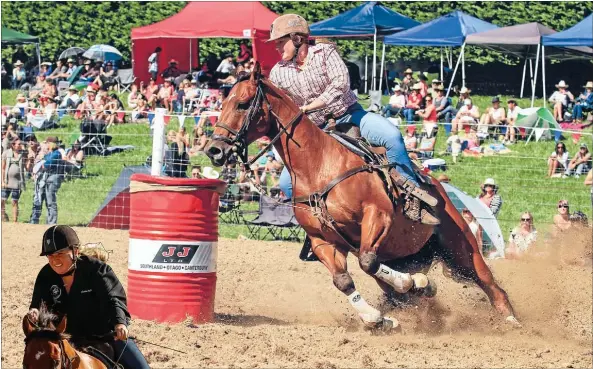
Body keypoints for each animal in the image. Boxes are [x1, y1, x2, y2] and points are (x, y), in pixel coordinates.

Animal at [205, 64, 520, 330]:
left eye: (242, 103)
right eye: (223, 102)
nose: (214, 150)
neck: (320, 165)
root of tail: (440, 189)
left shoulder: (377, 215)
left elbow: (368, 262)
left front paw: (411, 283)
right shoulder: (323, 241)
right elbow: (344, 280)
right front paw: (376, 318)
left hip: (462, 250)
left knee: (492, 286)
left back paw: (510, 320)